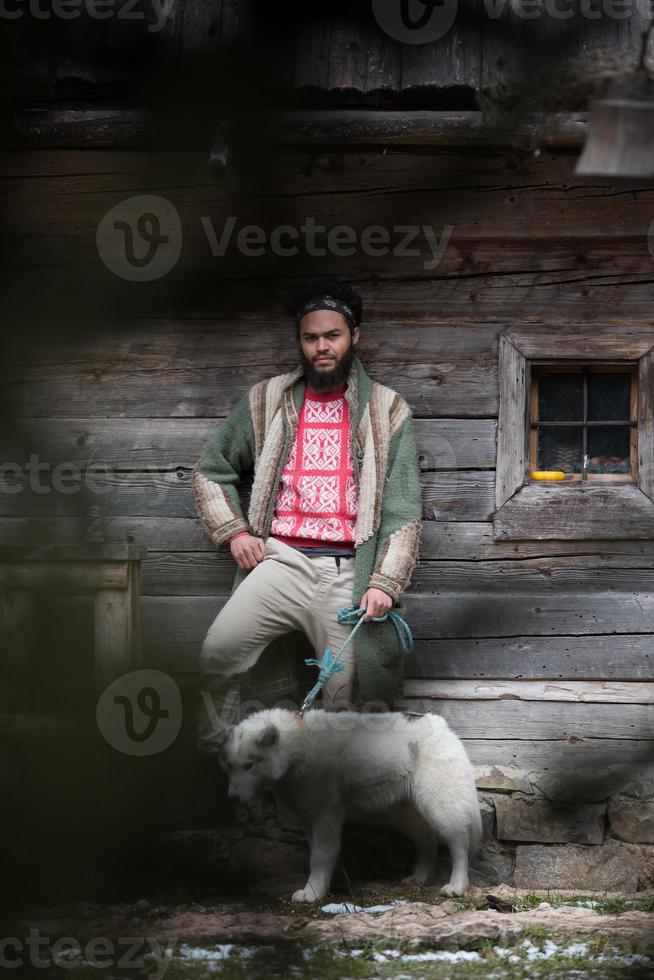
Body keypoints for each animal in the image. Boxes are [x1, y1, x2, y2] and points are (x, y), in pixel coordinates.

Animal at [218, 704, 484, 904]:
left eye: (249, 765)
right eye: (230, 765)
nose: (232, 798)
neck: (299, 747)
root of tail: (439, 723)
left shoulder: (325, 817)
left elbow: (320, 856)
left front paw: (311, 893)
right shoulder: (309, 819)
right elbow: (317, 855)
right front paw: (321, 888)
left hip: (440, 808)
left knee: (459, 845)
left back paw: (456, 886)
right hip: (403, 815)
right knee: (427, 840)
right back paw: (419, 878)